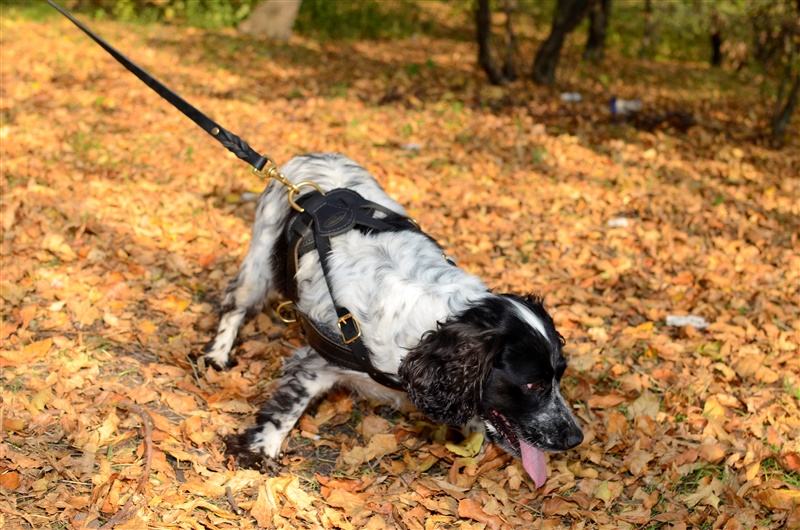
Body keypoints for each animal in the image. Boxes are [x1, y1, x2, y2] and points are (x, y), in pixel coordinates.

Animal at [203, 153, 584, 486]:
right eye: (533, 385)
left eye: (560, 377)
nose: (576, 438)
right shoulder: (317, 362)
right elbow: (286, 409)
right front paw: (258, 451)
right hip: (260, 262)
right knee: (235, 303)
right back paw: (218, 355)